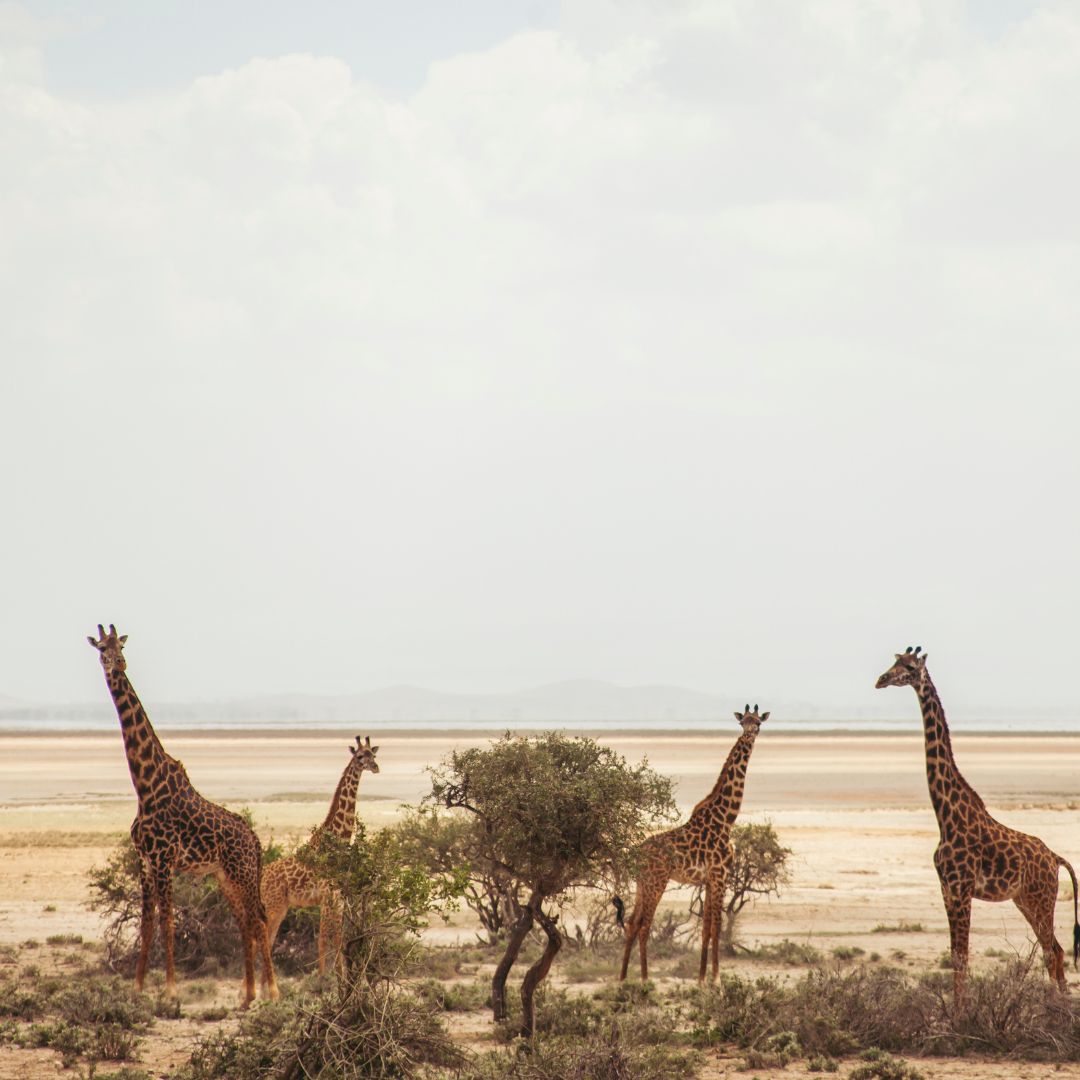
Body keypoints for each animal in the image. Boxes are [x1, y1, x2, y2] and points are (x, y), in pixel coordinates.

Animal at [87, 625, 278, 1007]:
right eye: (101, 648)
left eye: (120, 647)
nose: (118, 664)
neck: (145, 787)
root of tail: (255, 840)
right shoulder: (145, 861)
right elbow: (147, 926)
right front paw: (137, 988)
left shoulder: (164, 860)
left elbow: (168, 924)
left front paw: (171, 991)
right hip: (225, 877)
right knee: (245, 922)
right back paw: (249, 993)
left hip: (244, 874)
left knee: (260, 919)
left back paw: (272, 991)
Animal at [261, 735, 379, 976]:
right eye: (359, 756)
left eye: (373, 753)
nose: (375, 767)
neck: (339, 839)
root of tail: (261, 875)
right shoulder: (328, 896)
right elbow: (324, 939)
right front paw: (324, 977)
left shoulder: (339, 897)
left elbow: (339, 937)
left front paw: (341, 976)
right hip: (273, 904)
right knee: (264, 940)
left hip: (281, 906)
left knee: (268, 939)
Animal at [615, 705, 768, 983]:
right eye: (743, 722)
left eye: (759, 721)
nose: (751, 732)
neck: (727, 818)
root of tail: (636, 853)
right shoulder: (720, 875)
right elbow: (717, 926)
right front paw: (716, 979)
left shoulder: (709, 879)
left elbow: (706, 927)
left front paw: (701, 979)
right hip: (657, 882)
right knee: (644, 925)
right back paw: (644, 979)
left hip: (642, 883)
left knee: (631, 923)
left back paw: (621, 979)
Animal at [876, 646, 1080, 1000]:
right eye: (895, 660)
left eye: (910, 667)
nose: (881, 679)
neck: (945, 818)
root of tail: (1055, 858)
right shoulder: (946, 889)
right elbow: (956, 958)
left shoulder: (961, 889)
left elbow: (962, 959)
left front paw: (960, 1015)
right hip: (1024, 900)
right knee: (1053, 950)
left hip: (1042, 898)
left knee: (1053, 950)